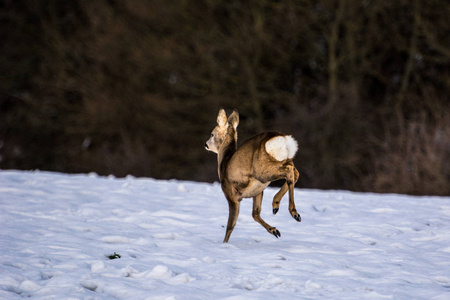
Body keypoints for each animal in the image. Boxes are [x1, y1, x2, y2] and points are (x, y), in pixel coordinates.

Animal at [206, 109, 300, 243]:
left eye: (212, 134)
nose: (206, 144)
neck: (224, 160)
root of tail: (283, 139)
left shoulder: (231, 195)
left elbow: (230, 225)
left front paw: (224, 244)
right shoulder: (257, 191)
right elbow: (255, 214)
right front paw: (274, 231)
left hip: (261, 170)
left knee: (289, 171)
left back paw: (293, 212)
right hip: (284, 161)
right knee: (295, 172)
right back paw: (276, 206)